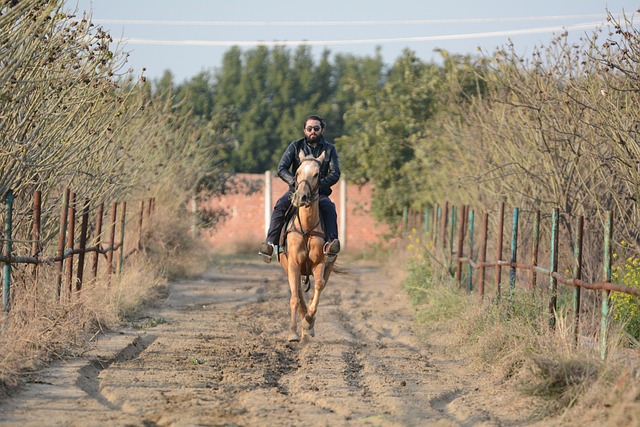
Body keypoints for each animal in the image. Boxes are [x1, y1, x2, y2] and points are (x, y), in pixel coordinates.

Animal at [280, 152, 340, 342]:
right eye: (297, 172)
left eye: (316, 174)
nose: (300, 197)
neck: (306, 228)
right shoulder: (292, 264)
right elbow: (294, 297)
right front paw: (293, 333)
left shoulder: (320, 263)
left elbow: (319, 286)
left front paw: (308, 322)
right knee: (298, 293)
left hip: (329, 264)